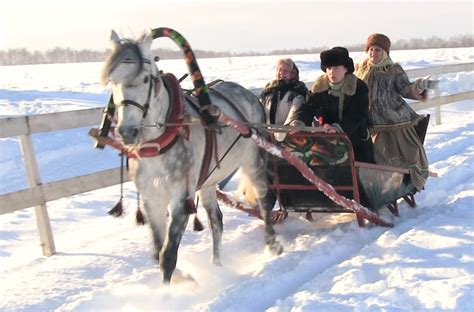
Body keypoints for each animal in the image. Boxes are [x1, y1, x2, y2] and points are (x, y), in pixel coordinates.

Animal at [100, 30, 284, 284]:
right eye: (112, 80)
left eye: (146, 79)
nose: (127, 132)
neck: (160, 140)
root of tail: (250, 95)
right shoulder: (151, 198)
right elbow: (157, 251)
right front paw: (183, 278)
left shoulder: (181, 196)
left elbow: (168, 255)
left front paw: (171, 288)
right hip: (208, 181)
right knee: (216, 220)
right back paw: (217, 264)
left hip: (253, 161)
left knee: (264, 202)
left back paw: (272, 243)